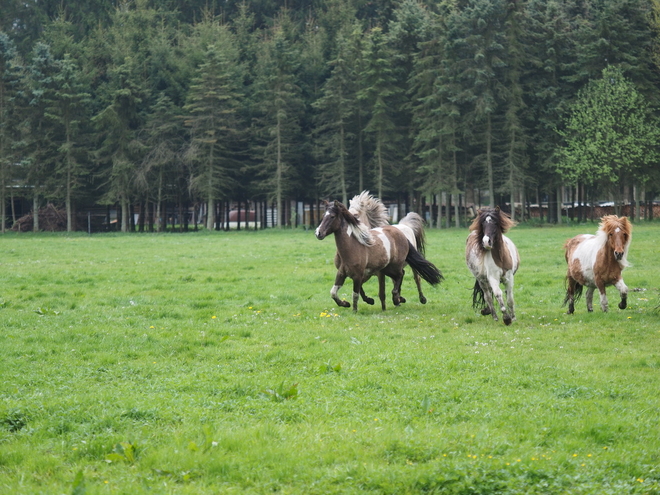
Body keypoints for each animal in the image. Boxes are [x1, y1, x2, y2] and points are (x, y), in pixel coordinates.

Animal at [314, 200, 444, 312]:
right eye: (323, 215)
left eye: (332, 216)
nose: (318, 233)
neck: (353, 247)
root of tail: (401, 232)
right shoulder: (342, 273)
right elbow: (333, 292)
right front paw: (346, 304)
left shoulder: (359, 275)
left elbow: (356, 294)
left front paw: (355, 310)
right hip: (388, 269)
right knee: (399, 277)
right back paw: (398, 299)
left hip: (395, 267)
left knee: (408, 277)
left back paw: (406, 298)